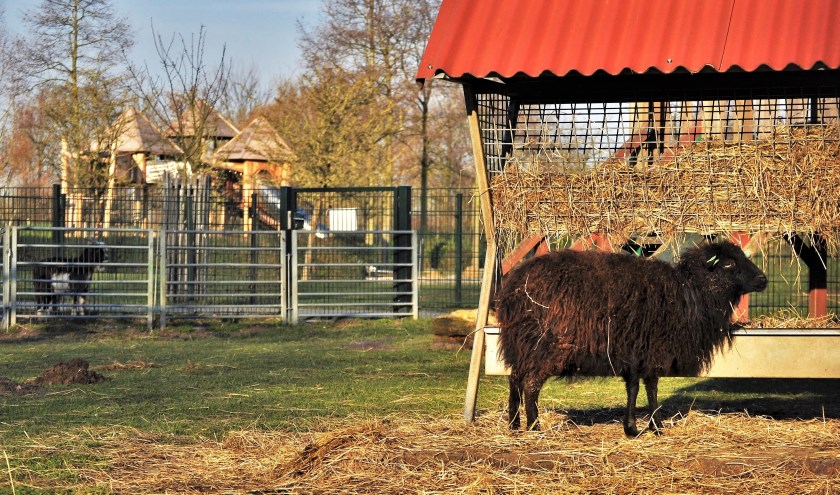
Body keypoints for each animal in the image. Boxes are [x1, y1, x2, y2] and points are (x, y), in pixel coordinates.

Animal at [498, 241, 768, 438]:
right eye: (729, 264)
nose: (764, 279)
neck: (692, 291)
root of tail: (514, 287)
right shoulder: (653, 349)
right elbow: (650, 387)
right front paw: (653, 426)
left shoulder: (635, 350)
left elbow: (634, 387)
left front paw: (633, 426)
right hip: (546, 345)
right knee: (531, 383)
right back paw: (534, 426)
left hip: (520, 343)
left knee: (514, 379)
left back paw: (513, 424)